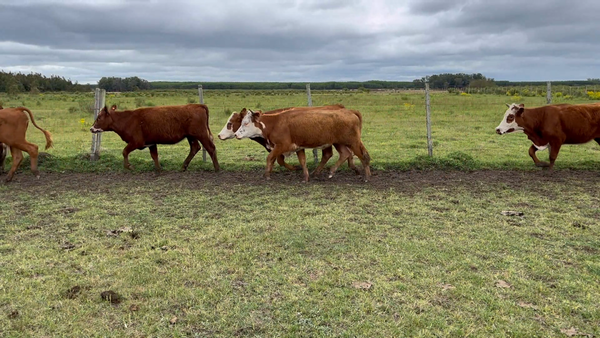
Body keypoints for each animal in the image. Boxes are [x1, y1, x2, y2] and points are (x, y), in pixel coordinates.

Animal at [89, 103, 220, 172]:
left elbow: (124, 151)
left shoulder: (136, 142)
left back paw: (217, 168)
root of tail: (198, 105)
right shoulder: (151, 143)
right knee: (195, 148)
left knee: (210, 148)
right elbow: (154, 156)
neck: (127, 119)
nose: (91, 128)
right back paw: (183, 166)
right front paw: (158, 168)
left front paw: (128, 166)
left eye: (99, 117)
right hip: (191, 136)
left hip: (201, 134)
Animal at [217, 104, 358, 176]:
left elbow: (279, 160)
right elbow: (277, 160)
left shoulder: (281, 146)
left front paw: (294, 168)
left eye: (230, 123)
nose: (219, 135)